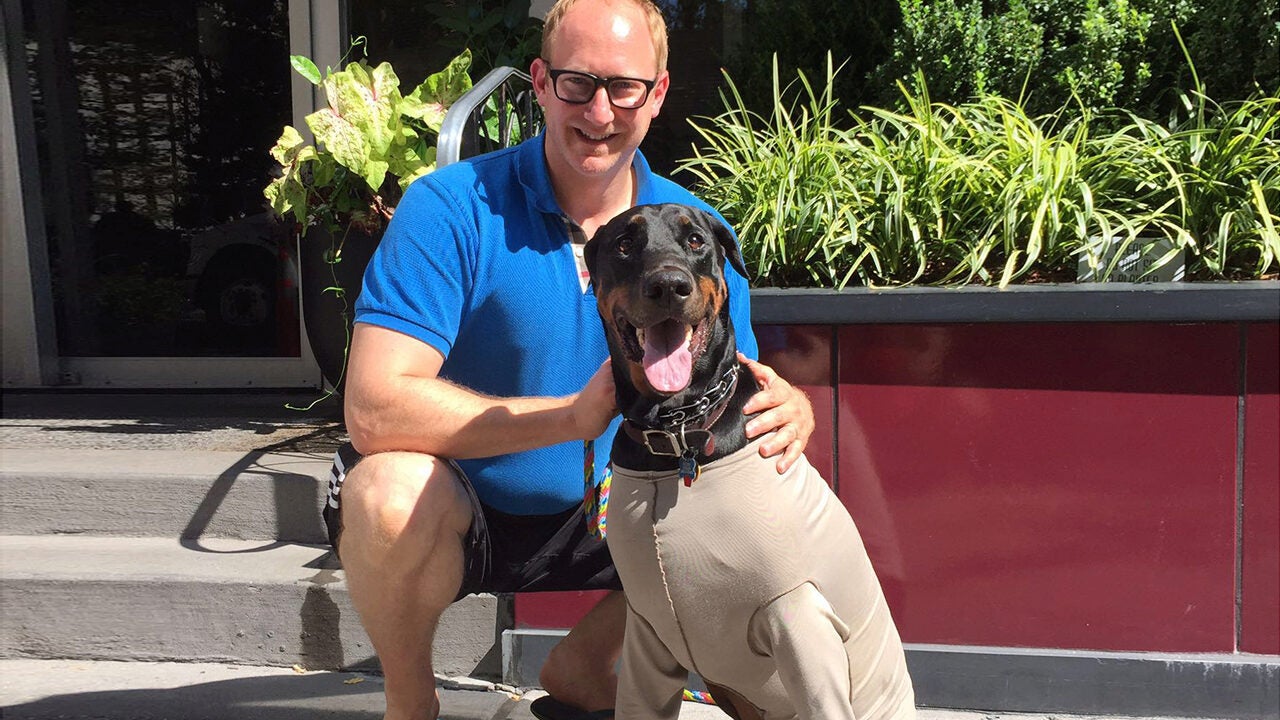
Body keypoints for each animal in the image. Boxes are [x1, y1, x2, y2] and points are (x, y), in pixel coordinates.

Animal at [586, 203, 916, 717]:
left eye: (696, 240)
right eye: (624, 243)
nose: (669, 285)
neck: (677, 434)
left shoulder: (800, 617)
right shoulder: (646, 631)